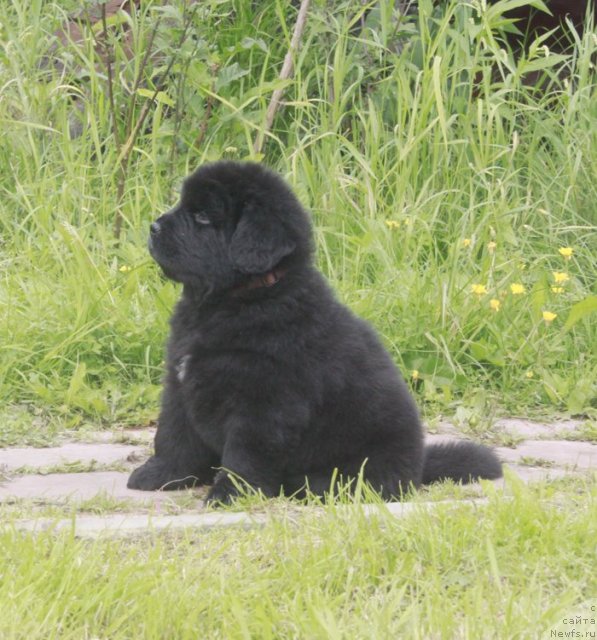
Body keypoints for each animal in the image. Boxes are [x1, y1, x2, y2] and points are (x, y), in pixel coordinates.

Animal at [128, 161, 500, 504]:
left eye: (203, 216)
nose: (153, 226)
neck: (233, 301)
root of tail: (418, 467)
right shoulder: (180, 383)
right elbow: (173, 435)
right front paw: (161, 474)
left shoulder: (263, 404)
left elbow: (243, 456)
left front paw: (230, 494)